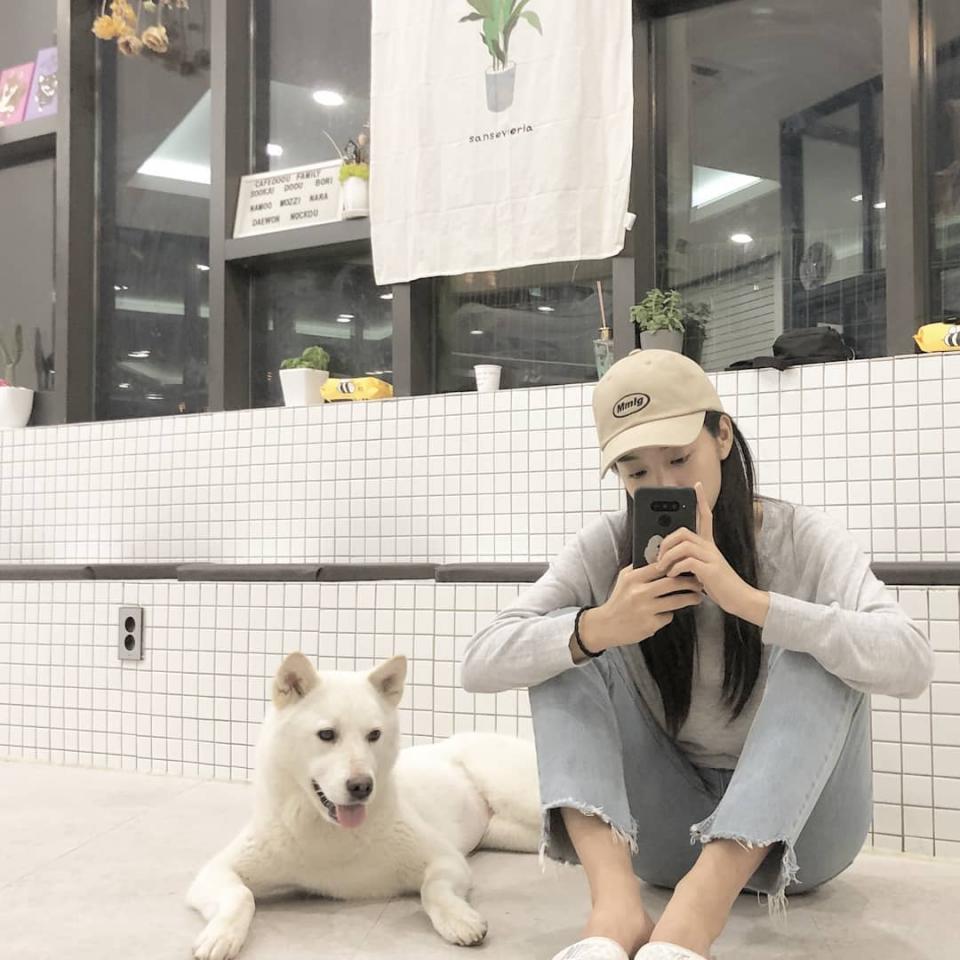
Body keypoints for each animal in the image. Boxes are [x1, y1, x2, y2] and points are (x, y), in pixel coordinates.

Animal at [187, 652, 541, 959]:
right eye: (326, 734)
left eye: (374, 735)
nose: (361, 787)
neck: (330, 834)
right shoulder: (215, 871)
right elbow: (240, 895)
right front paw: (221, 935)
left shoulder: (446, 858)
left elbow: (433, 889)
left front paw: (458, 919)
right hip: (505, 833)